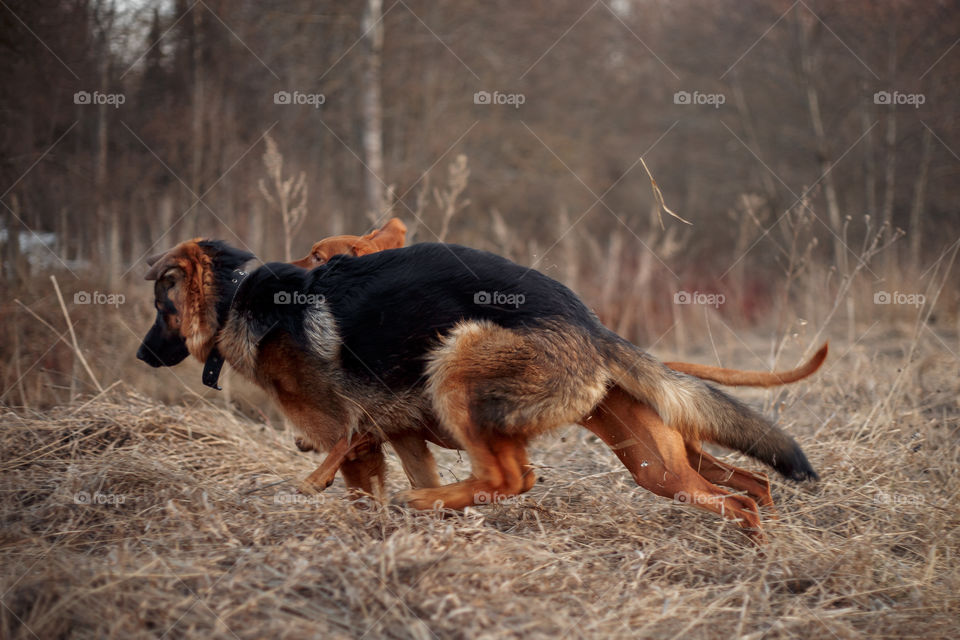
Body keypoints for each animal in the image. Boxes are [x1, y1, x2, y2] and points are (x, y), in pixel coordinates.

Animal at [139, 238, 820, 536]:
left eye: (160, 308)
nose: (143, 354)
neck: (239, 298)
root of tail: (594, 329)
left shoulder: (350, 440)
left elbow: (352, 476)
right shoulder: (401, 436)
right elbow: (398, 475)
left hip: (457, 361)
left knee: (509, 476)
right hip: (659, 464)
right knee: (745, 489)